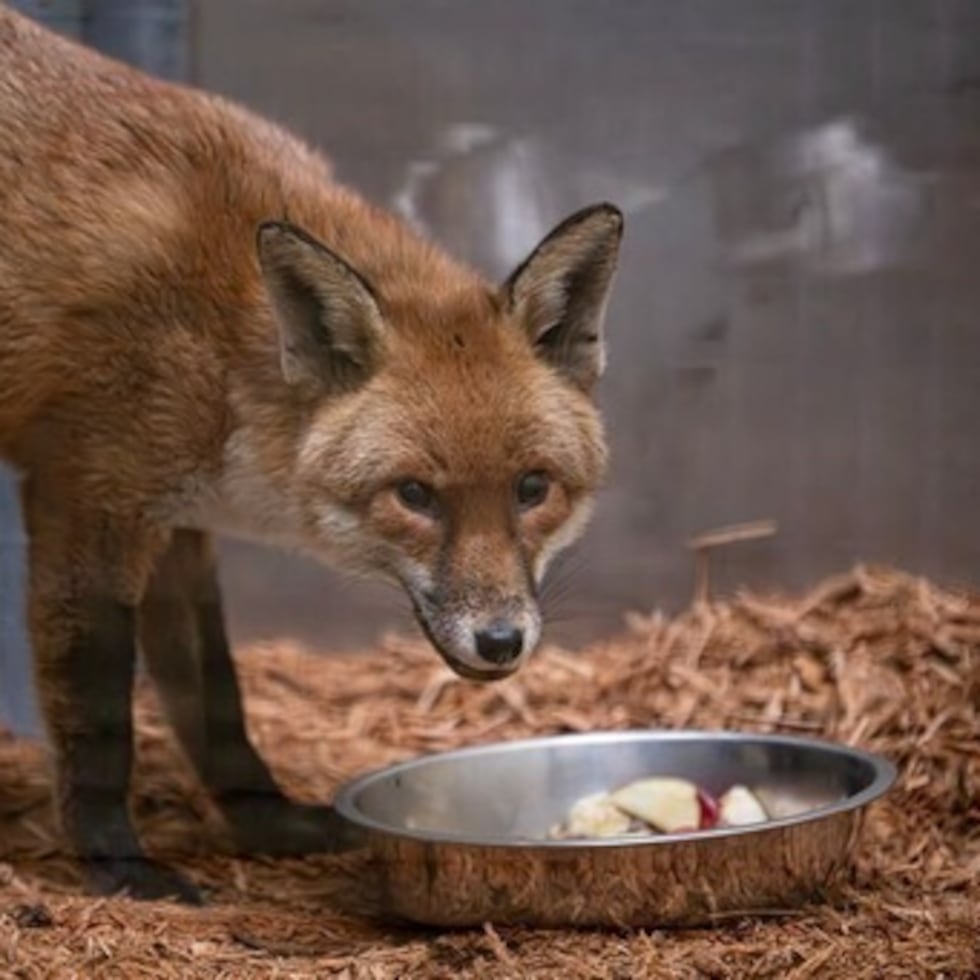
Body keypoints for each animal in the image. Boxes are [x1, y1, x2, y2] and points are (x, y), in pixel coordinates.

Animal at [0, 4, 623, 904]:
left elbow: (216, 700)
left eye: (532, 488)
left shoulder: (178, 524)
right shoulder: (85, 497)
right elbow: (98, 715)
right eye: (415, 495)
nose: (502, 641)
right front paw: (117, 863)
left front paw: (268, 825)